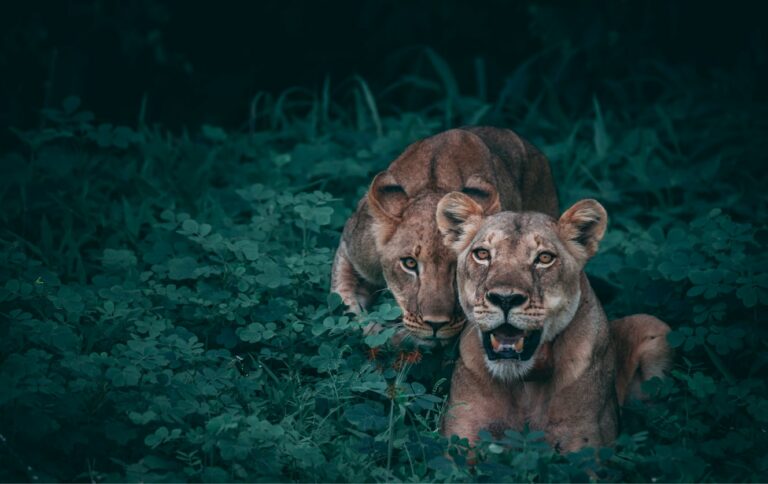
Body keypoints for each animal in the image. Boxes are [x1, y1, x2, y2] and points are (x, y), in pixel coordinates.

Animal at [436, 192, 671, 452]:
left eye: (544, 258)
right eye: (482, 254)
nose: (505, 298)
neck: (523, 383)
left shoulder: (584, 439)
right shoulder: (461, 432)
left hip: (653, 325)